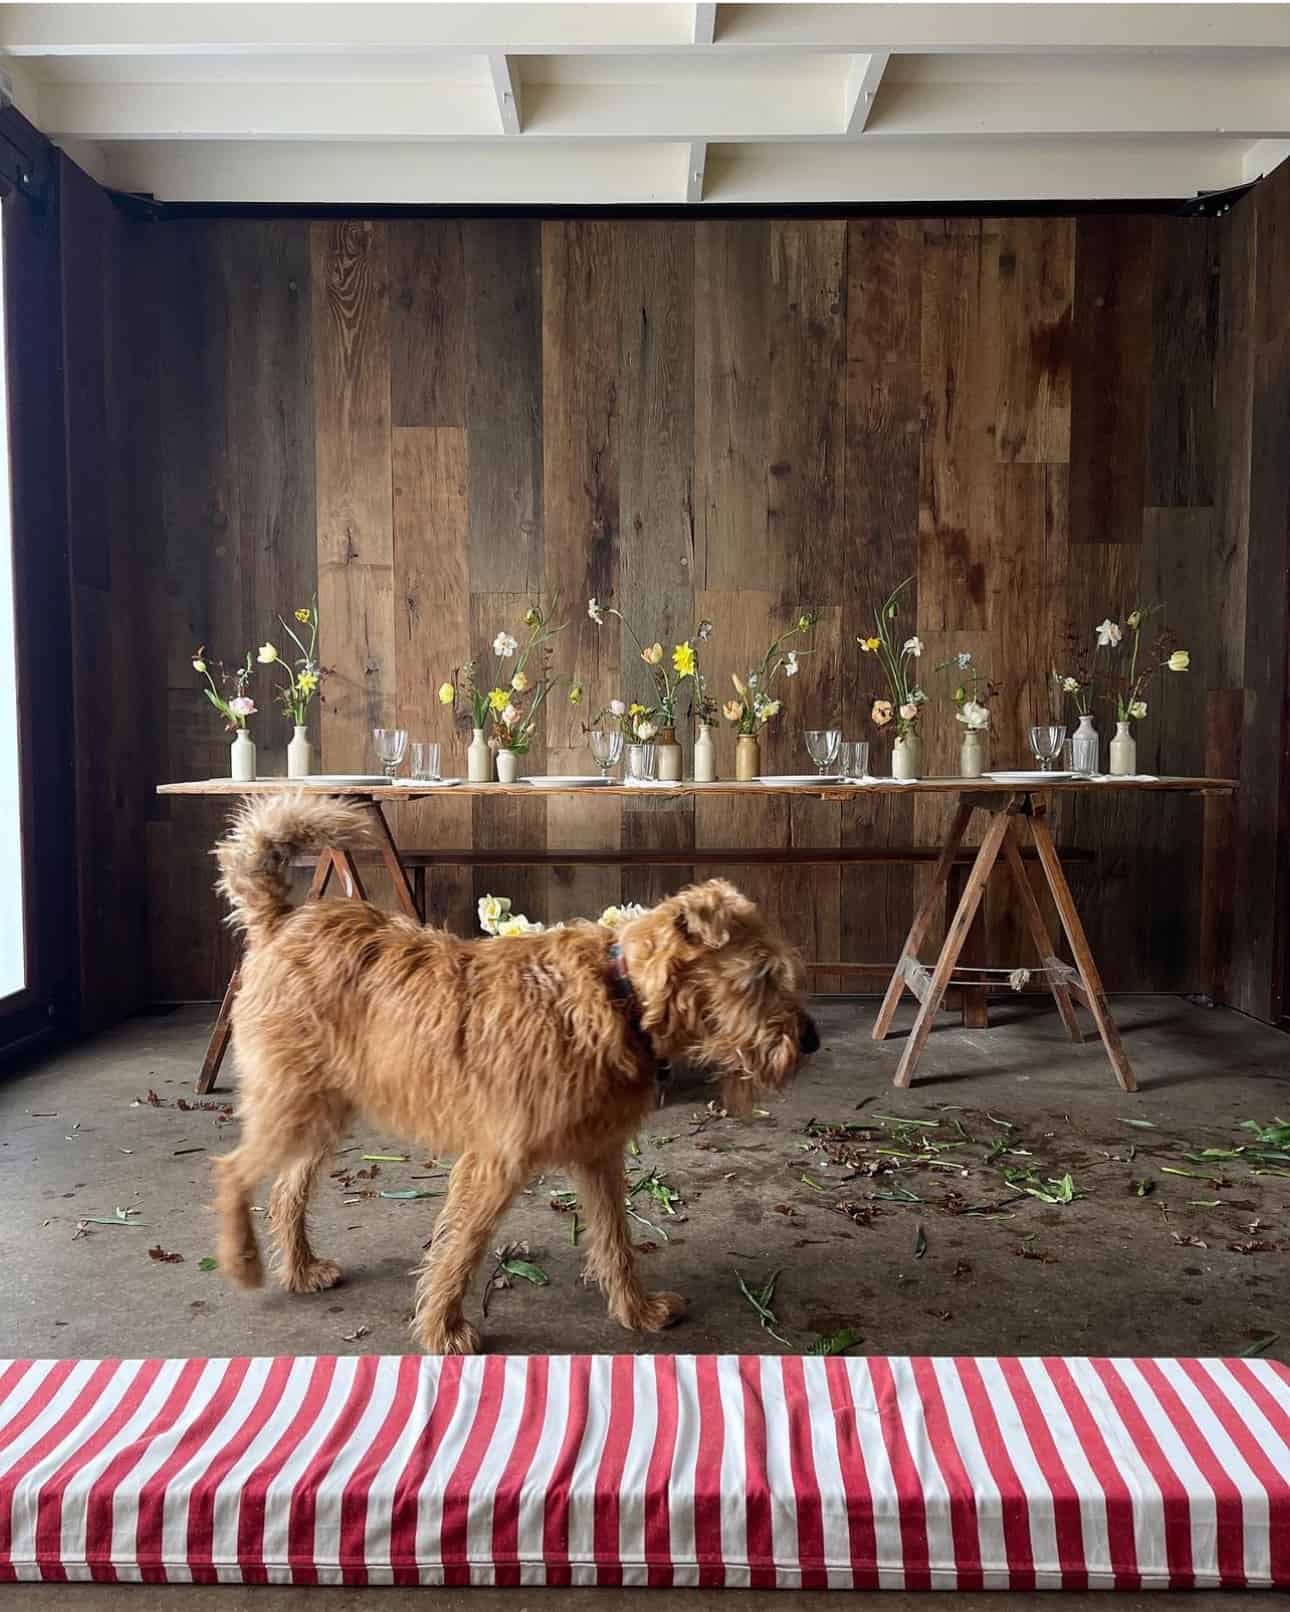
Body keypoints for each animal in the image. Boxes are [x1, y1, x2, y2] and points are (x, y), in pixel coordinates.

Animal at [209, 799, 815, 1354]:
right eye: (761, 976)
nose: (810, 1041)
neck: (621, 996)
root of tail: (284, 919)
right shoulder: (495, 1164)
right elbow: (461, 1250)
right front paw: (443, 1330)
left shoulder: (598, 1155)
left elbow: (615, 1239)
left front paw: (636, 1310)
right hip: (290, 1104)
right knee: (232, 1172)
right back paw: (243, 1262)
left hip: (322, 1112)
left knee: (287, 1190)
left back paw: (301, 1269)